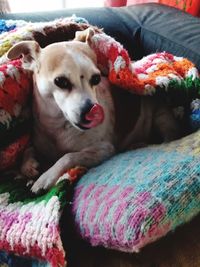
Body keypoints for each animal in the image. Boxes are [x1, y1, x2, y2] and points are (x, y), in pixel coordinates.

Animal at [7, 28, 180, 194]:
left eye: (96, 78)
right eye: (61, 81)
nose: (92, 111)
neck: (58, 126)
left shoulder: (104, 149)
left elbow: (69, 156)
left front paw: (46, 177)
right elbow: (28, 149)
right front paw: (28, 166)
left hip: (162, 117)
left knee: (168, 136)